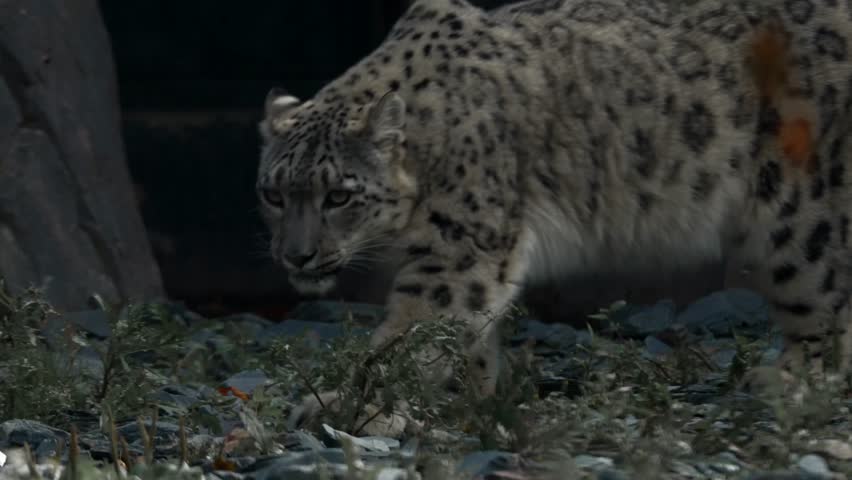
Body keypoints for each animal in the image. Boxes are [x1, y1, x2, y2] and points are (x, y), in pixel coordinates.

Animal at [256, 0, 852, 435]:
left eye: (338, 196)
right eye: (274, 194)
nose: (297, 255)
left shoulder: (458, 255)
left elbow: (407, 337)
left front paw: (341, 406)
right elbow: (470, 340)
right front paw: (473, 400)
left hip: (800, 223)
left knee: (824, 307)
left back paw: (788, 382)